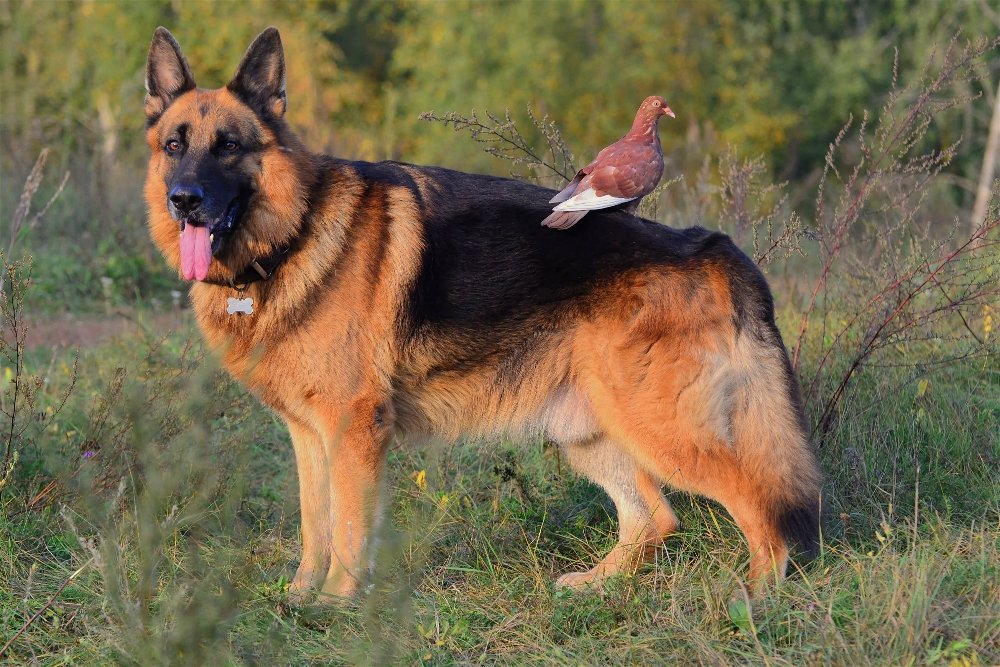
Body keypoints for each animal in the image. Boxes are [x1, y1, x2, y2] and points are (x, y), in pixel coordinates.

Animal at [146, 27, 820, 600]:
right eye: (174, 146)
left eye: (230, 147)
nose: (185, 201)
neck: (296, 229)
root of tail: (708, 244)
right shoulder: (310, 435)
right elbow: (317, 526)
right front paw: (299, 599)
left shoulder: (352, 430)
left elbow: (350, 530)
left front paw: (336, 605)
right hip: (586, 430)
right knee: (656, 518)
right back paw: (594, 586)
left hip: (665, 430)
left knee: (763, 509)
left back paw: (756, 601)